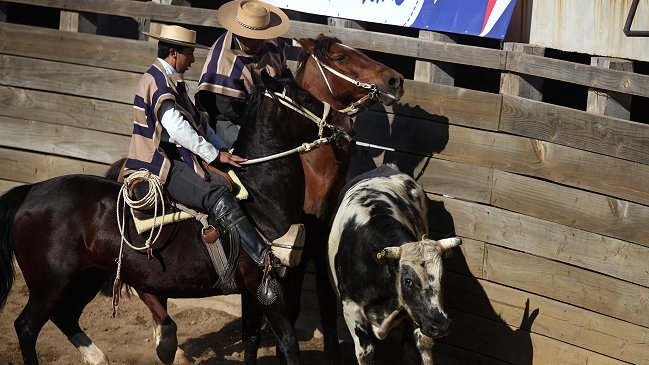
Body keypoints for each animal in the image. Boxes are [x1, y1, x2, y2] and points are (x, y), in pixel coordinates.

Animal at [0, 72, 334, 364]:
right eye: (306, 97)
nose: (339, 124)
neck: (261, 196)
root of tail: (31, 192)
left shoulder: (253, 291)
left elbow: (251, 339)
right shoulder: (265, 285)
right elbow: (288, 342)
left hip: (86, 276)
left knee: (64, 316)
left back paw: (99, 357)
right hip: (50, 283)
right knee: (26, 327)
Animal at [330, 165, 460, 364]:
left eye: (443, 277)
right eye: (408, 281)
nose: (440, 326)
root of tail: (387, 166)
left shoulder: (416, 313)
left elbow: (422, 345)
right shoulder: (351, 310)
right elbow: (366, 352)